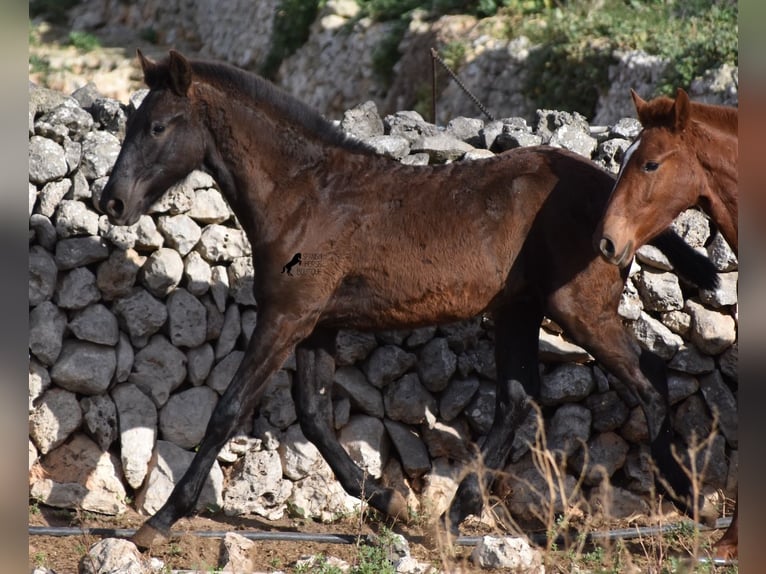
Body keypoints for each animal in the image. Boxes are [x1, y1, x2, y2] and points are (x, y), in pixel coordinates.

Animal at [100, 51, 720, 552]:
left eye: (157, 126)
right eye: (131, 124)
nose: (113, 202)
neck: (306, 192)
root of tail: (613, 196)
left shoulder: (288, 317)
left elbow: (228, 411)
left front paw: (158, 522)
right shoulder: (316, 324)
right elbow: (314, 415)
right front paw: (390, 502)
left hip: (579, 311)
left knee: (647, 380)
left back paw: (687, 497)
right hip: (518, 311)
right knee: (517, 400)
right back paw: (451, 518)